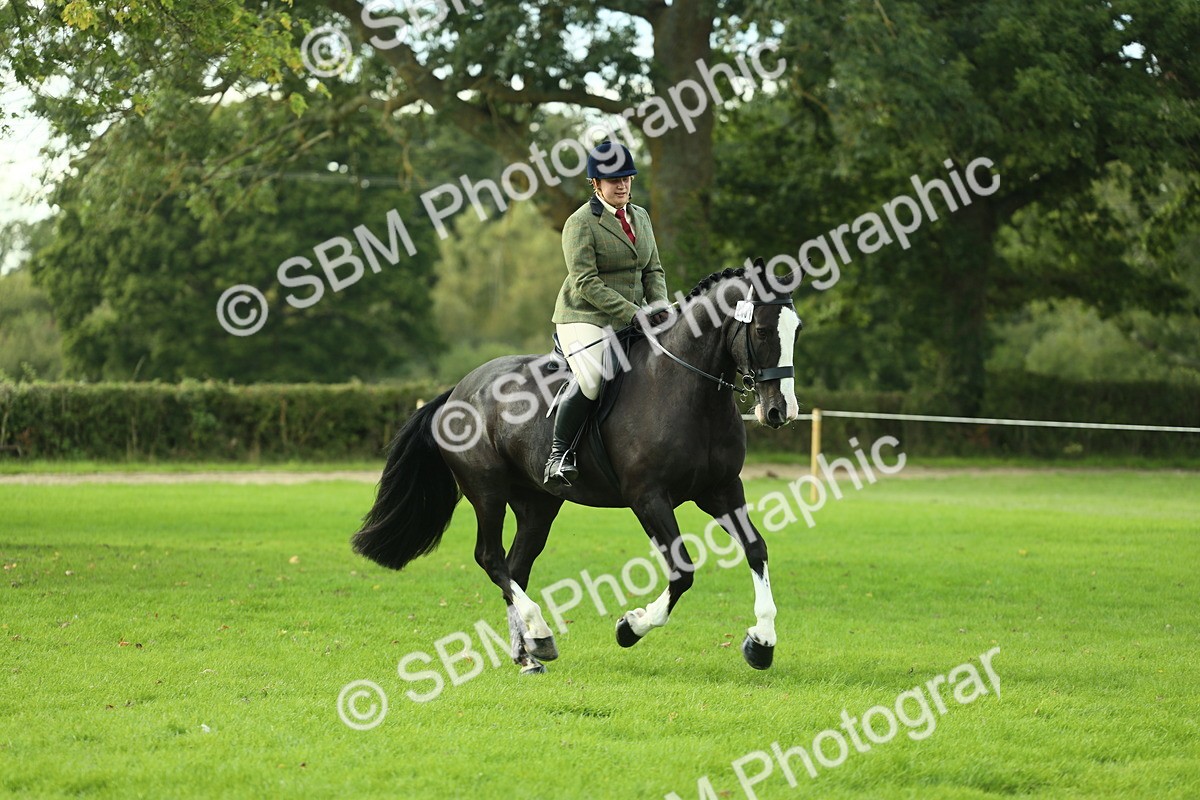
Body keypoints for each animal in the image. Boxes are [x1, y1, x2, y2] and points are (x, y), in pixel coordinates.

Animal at [352, 263, 803, 675]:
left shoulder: (722, 490)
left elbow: (756, 548)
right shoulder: (649, 498)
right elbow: (682, 571)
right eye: (763, 331)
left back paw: (527, 654)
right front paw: (630, 627)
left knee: (516, 566)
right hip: (487, 492)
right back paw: (540, 635)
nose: (780, 412)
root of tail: (459, 390)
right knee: (491, 558)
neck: (686, 388)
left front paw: (761, 642)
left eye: (795, 330)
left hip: (538, 504)